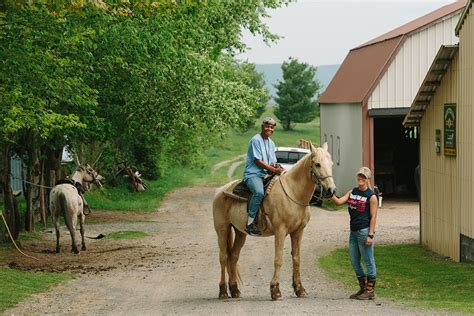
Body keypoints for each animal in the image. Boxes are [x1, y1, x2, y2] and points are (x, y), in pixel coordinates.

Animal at [213, 144, 336, 300]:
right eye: (317, 164)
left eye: (331, 164)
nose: (331, 190)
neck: (293, 193)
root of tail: (220, 191)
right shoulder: (280, 231)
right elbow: (278, 259)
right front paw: (275, 290)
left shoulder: (298, 232)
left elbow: (296, 258)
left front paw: (299, 289)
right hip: (222, 229)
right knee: (223, 258)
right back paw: (223, 291)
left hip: (240, 232)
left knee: (233, 257)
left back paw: (234, 290)